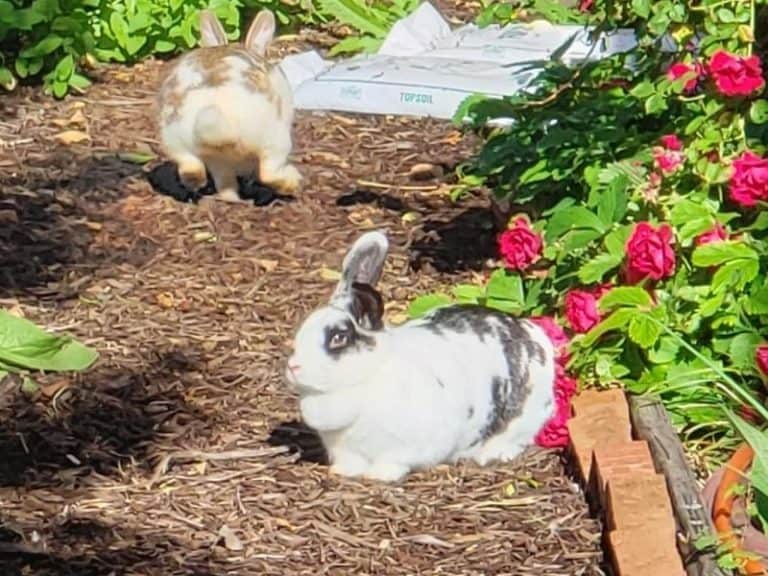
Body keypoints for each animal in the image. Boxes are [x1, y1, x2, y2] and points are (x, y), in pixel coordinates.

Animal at [284, 230, 556, 482]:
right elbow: (351, 462)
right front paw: (343, 472)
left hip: (523, 418)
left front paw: (379, 476)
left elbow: (392, 462)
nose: (293, 367)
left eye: (339, 338)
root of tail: (534, 336)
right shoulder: (346, 450)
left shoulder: (404, 448)